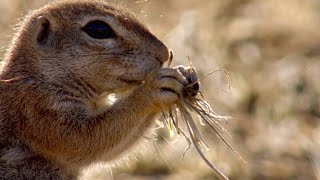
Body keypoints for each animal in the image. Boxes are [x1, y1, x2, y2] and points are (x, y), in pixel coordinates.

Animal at [0, 0, 192, 179]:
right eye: (98, 29)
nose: (164, 53)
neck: (40, 76)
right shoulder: (37, 110)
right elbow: (86, 140)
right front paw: (154, 89)